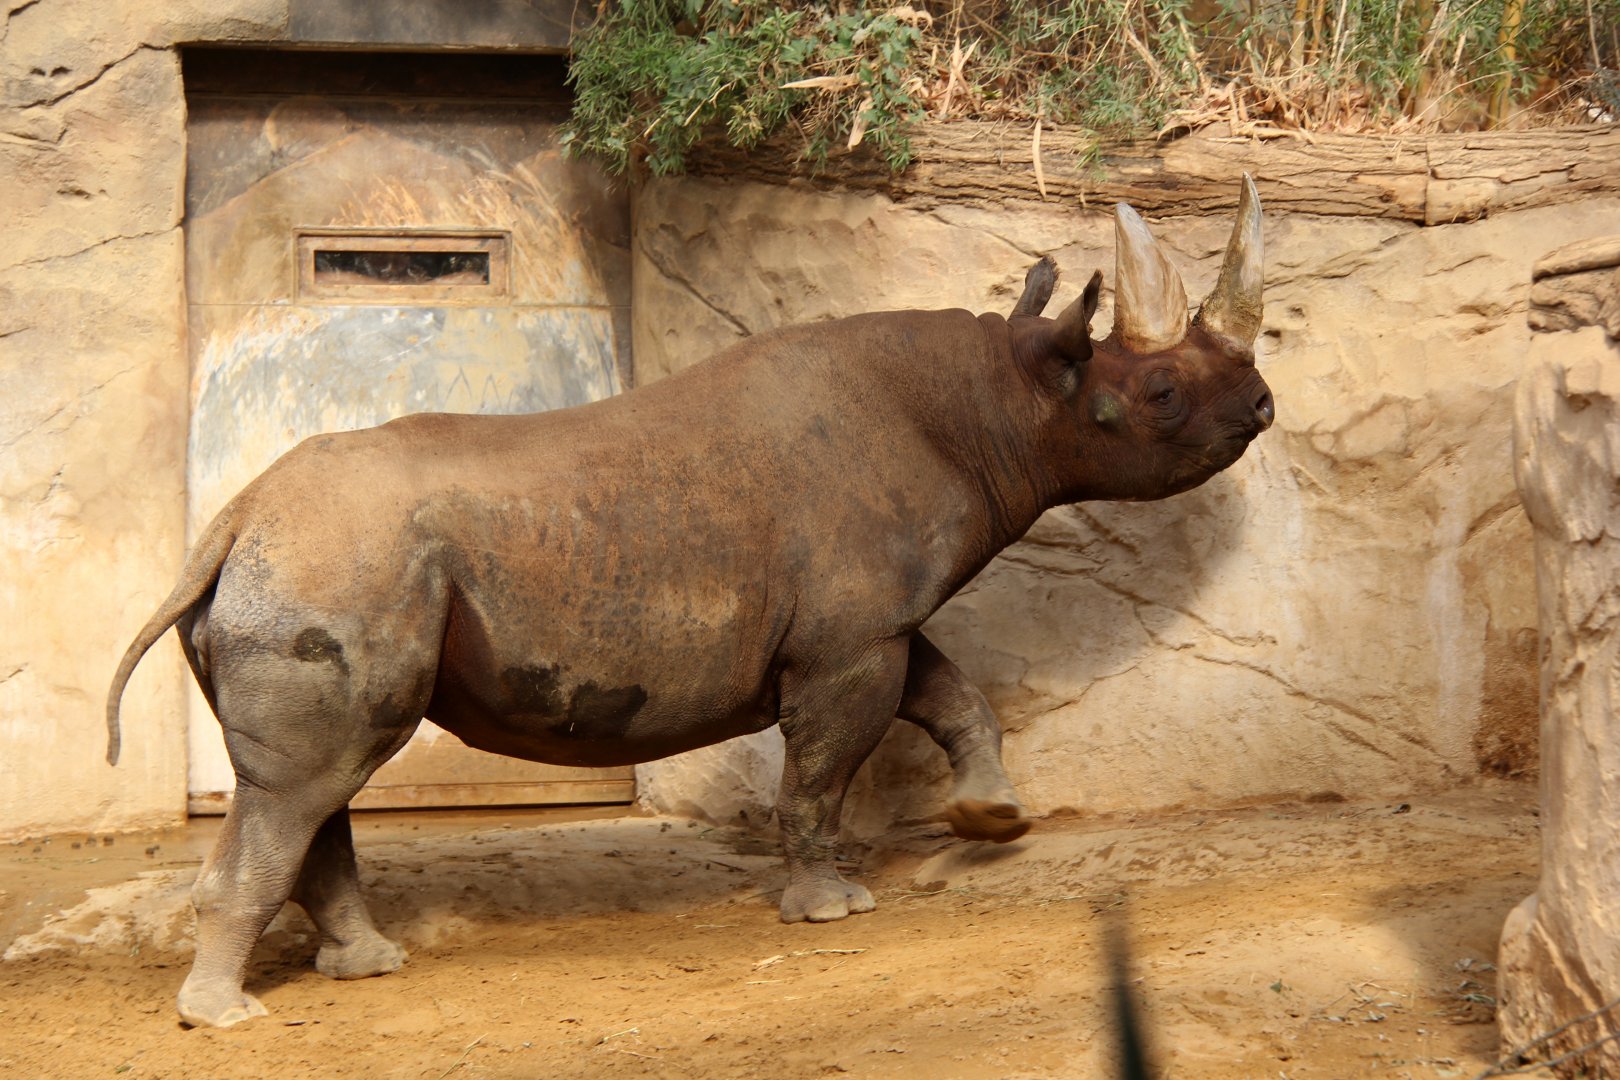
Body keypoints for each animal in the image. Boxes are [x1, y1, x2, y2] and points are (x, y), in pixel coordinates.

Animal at [107, 177, 1273, 1028]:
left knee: (320, 782)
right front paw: (829, 911)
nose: (1262, 407)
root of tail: (234, 519)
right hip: (337, 560)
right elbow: (820, 775)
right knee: (308, 784)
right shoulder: (850, 638)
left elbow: (951, 696)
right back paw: (226, 1017)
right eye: (1161, 396)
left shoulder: (872, 620)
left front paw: (993, 817)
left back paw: (368, 967)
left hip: (316, 564)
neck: (1005, 397)